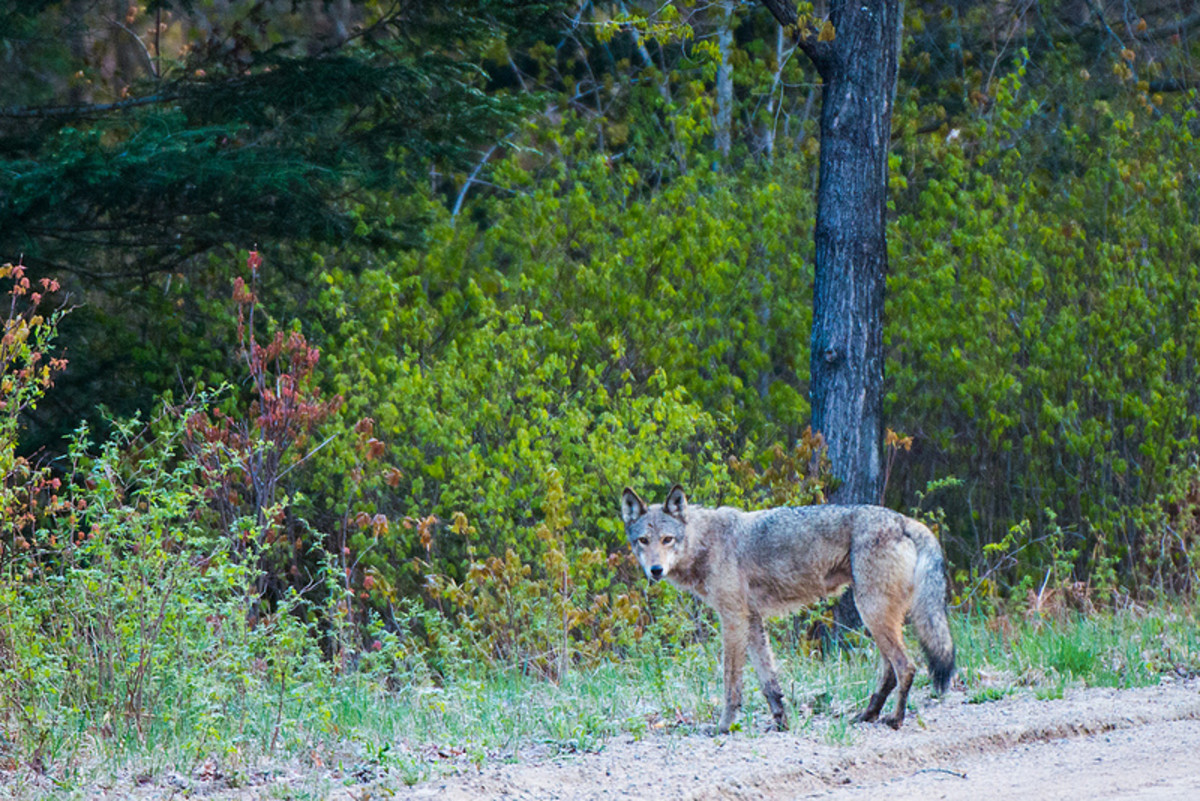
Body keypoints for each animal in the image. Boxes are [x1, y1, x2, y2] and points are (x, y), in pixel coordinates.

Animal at [621, 485, 955, 732]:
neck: (704, 543)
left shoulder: (732, 620)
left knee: (907, 667)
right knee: (890, 672)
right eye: (643, 540)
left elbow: (731, 683)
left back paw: (895, 720)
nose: (655, 570)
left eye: (667, 539)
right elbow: (769, 682)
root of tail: (902, 519)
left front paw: (723, 726)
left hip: (873, 613)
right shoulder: (752, 620)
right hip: (875, 618)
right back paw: (866, 715)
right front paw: (781, 722)